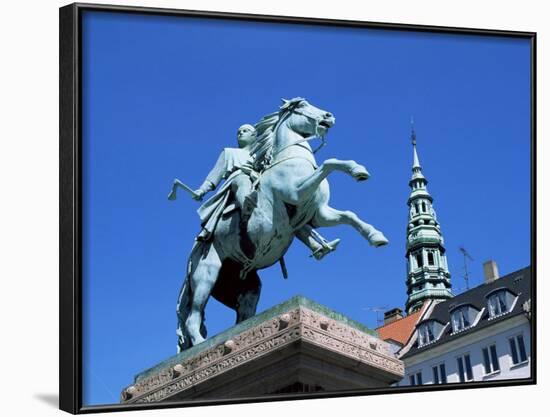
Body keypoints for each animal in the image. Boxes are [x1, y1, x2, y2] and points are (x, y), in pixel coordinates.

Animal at [177, 97, 388, 352]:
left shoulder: (319, 214)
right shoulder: (297, 191)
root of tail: (191, 259)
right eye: (302, 106)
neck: (291, 159)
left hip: (247, 288)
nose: (329, 116)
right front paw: (357, 170)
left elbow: (349, 215)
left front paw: (375, 235)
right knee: (193, 316)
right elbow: (329, 163)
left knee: (242, 316)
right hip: (206, 274)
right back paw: (201, 344)